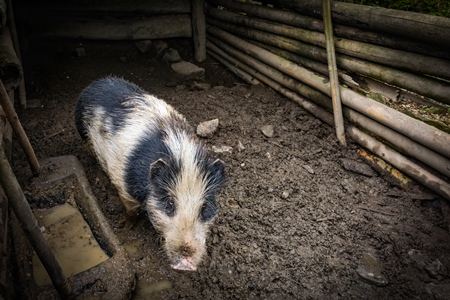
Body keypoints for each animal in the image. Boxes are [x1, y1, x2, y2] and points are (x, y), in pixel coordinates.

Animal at [76, 76, 229, 274]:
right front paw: (125, 226)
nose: (186, 264)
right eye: (169, 204)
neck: (181, 154)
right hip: (82, 131)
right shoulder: (123, 184)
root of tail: (99, 82)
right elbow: (131, 209)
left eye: (204, 208)